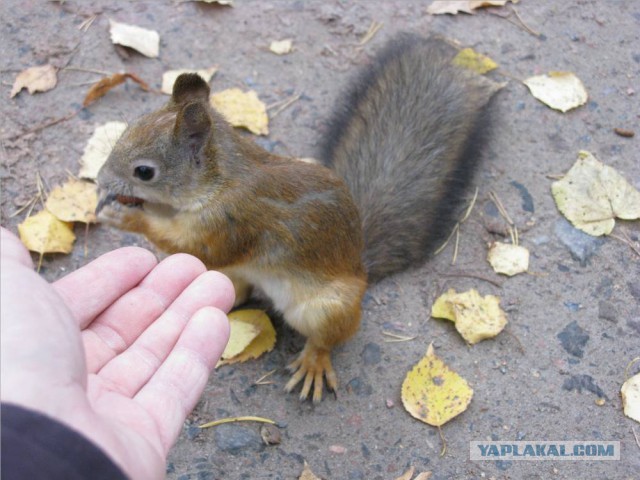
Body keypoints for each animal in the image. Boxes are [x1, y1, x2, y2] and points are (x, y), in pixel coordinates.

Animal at [95, 34, 500, 402]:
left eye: (144, 171)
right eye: (129, 128)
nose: (100, 179)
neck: (219, 182)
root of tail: (361, 268)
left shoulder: (234, 223)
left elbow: (195, 246)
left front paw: (127, 217)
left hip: (327, 307)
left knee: (329, 336)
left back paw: (313, 362)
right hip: (240, 276)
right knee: (239, 290)